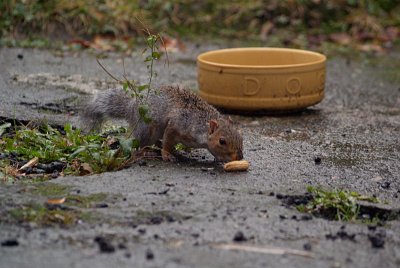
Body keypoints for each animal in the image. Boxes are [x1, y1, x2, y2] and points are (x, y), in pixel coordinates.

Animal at [80, 85, 244, 162]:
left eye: (241, 137)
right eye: (222, 141)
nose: (240, 157)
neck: (200, 124)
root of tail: (131, 108)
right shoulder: (176, 126)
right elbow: (168, 141)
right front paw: (167, 155)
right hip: (146, 129)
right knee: (134, 140)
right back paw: (145, 151)